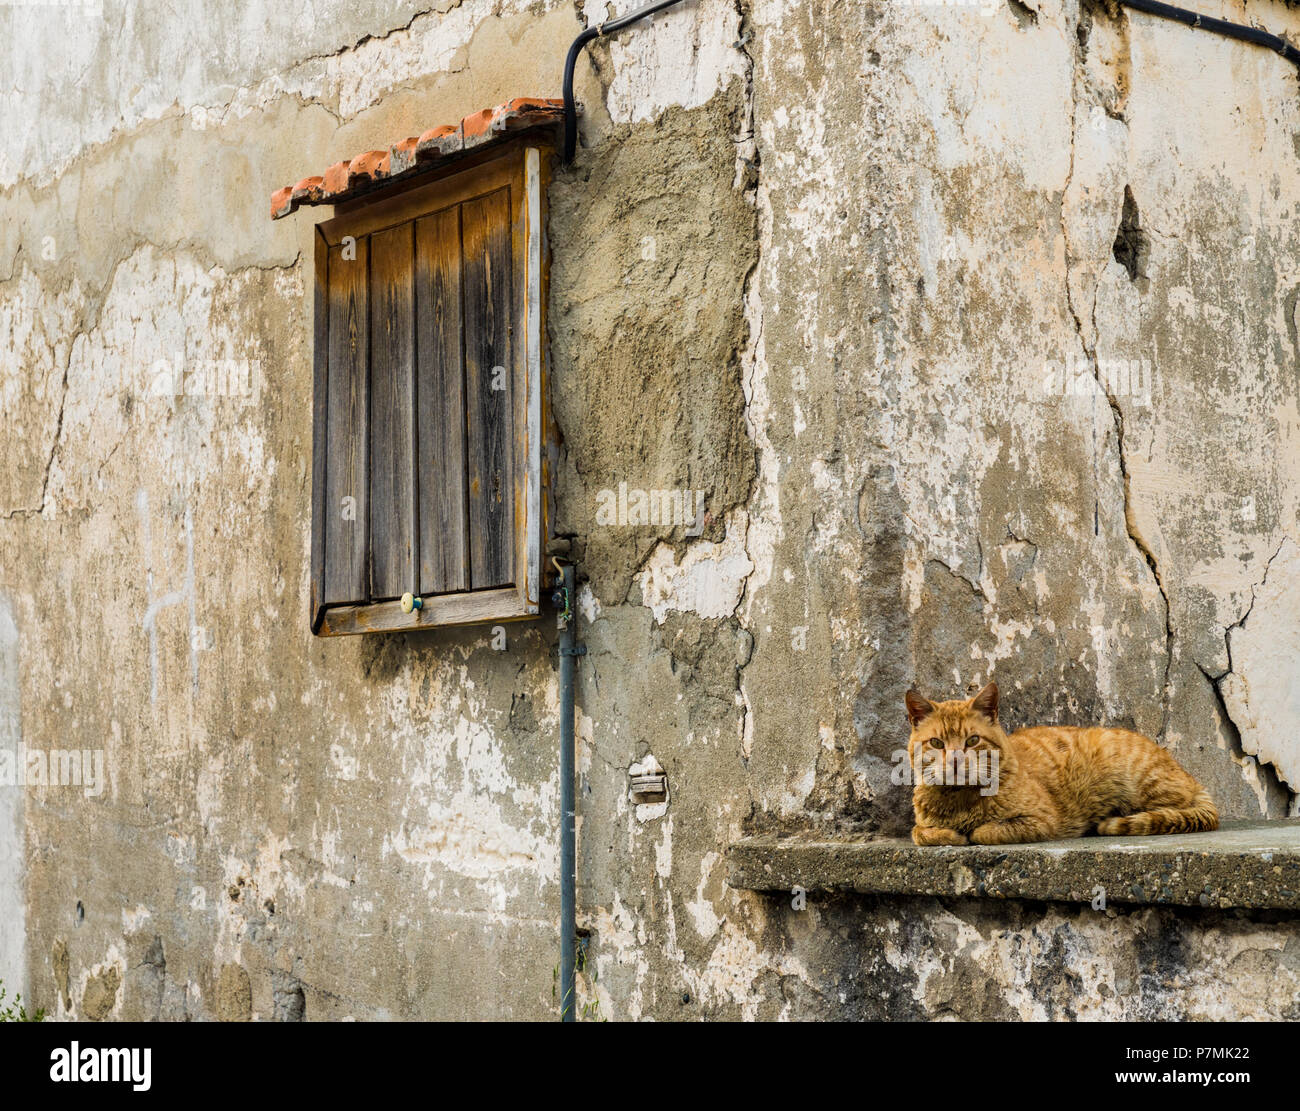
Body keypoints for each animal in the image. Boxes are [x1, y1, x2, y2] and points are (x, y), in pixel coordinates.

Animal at [909, 680, 1211, 847]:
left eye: (972, 740)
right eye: (937, 743)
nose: (955, 760)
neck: (958, 799)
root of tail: (1190, 776)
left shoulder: (1041, 821)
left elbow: (985, 831)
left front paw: (967, 833)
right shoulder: (921, 824)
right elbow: (919, 832)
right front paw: (948, 834)